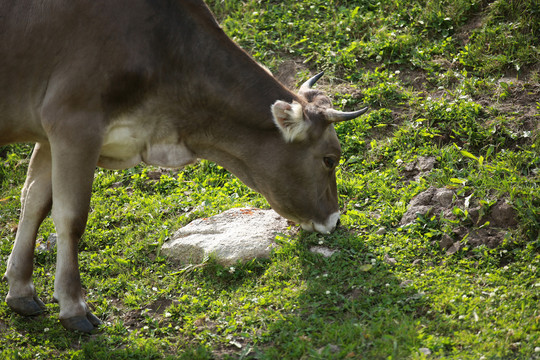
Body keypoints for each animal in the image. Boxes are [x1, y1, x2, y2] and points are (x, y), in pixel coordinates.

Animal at [0, 0, 368, 332]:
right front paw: (74, 307)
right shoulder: (72, 123)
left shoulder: (48, 133)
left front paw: (20, 290)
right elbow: (71, 217)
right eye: (329, 159)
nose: (335, 220)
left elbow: (33, 201)